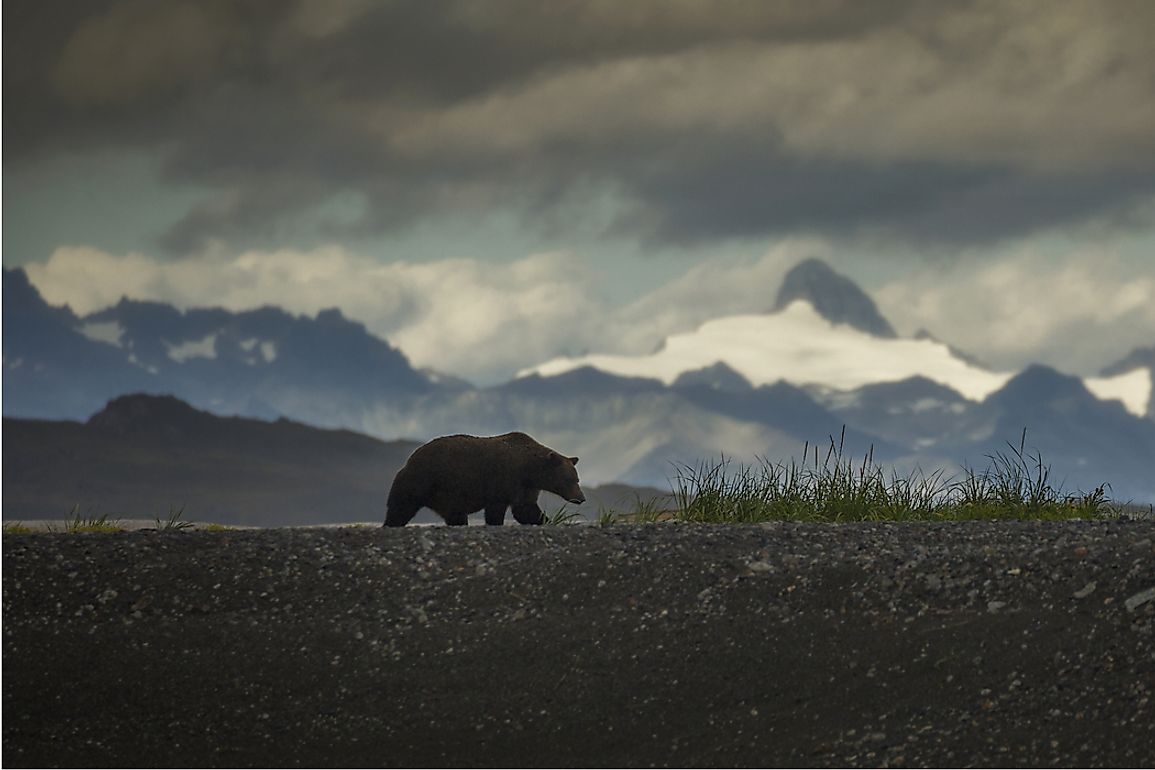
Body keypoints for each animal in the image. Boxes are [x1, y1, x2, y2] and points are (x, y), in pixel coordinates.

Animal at [385, 431, 586, 526]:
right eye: (569, 479)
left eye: (577, 479)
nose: (581, 498)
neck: (530, 470)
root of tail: (409, 460)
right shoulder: (504, 479)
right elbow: (497, 510)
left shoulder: (525, 488)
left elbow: (525, 510)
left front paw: (548, 520)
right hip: (420, 482)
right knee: (400, 508)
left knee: (455, 515)